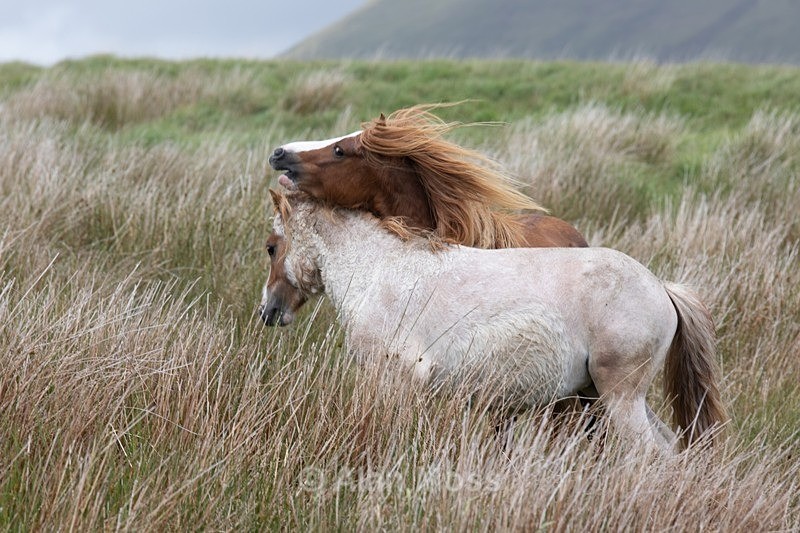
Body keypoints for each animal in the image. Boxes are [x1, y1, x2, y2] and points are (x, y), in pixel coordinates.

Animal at [260, 189, 727, 452]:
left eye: (271, 246)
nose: (268, 311)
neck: (380, 271)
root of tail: (661, 288)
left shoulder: (394, 380)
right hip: (619, 398)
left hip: (620, 400)